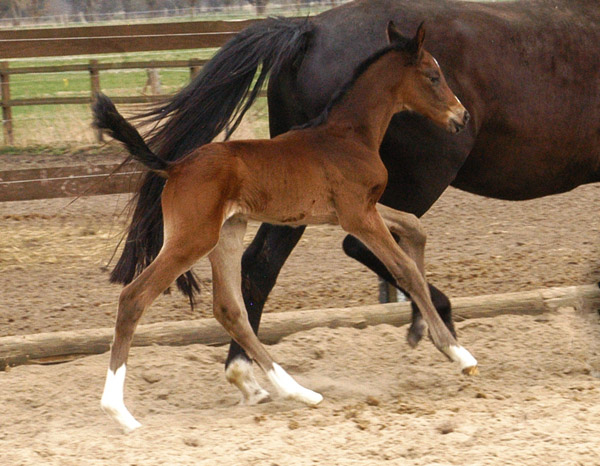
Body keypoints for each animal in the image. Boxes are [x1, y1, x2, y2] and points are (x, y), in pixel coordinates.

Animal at [94, 20, 476, 432]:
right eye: (433, 76)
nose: (462, 116)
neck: (349, 135)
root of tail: (175, 166)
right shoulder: (357, 214)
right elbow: (405, 270)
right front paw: (457, 353)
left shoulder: (356, 210)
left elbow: (414, 227)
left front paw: (422, 330)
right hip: (192, 239)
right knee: (134, 298)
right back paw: (120, 412)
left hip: (227, 233)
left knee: (229, 309)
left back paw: (293, 391)